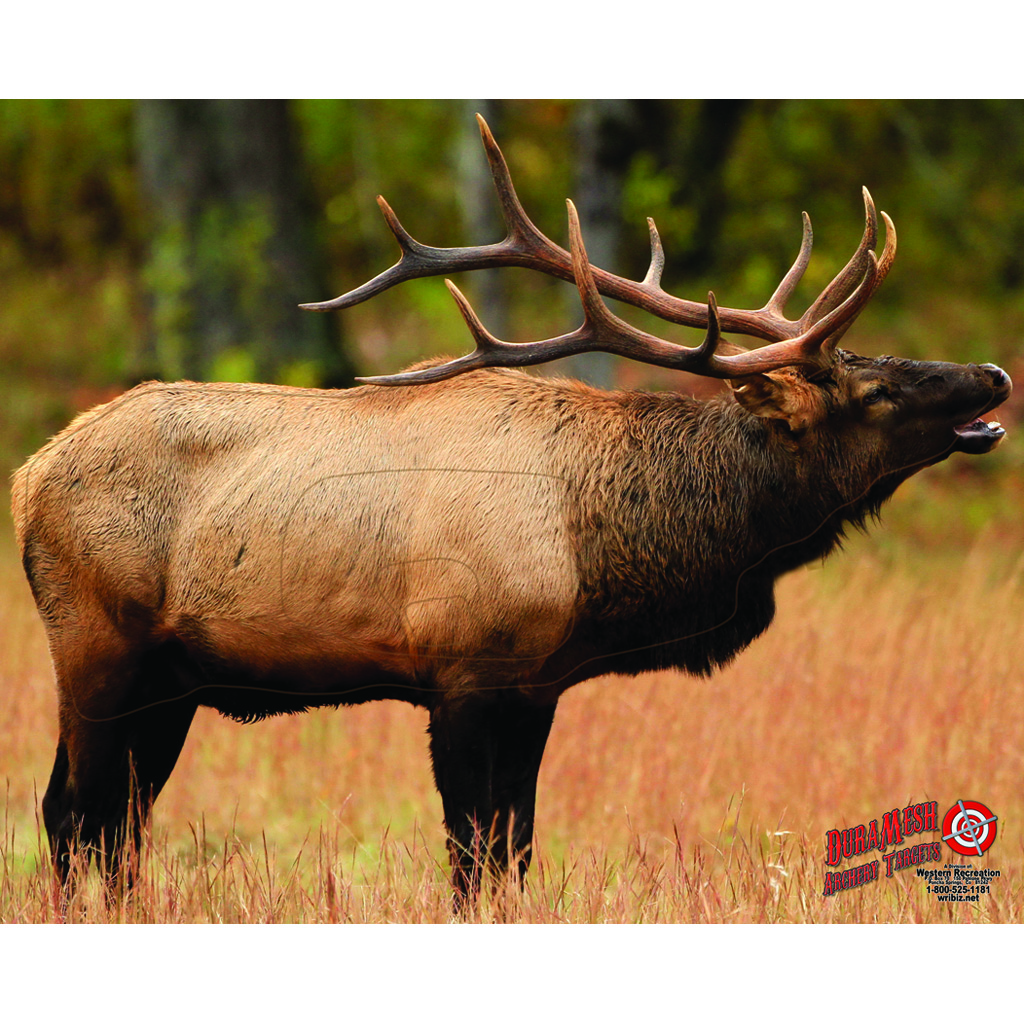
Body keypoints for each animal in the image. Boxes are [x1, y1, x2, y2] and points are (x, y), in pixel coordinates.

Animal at [12, 116, 1010, 906]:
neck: (597, 553)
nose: (995, 374)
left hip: (171, 681)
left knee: (117, 823)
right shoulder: (462, 672)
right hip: (98, 646)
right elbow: (471, 859)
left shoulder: (536, 687)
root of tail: (26, 478)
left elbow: (513, 855)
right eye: (874, 389)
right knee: (70, 813)